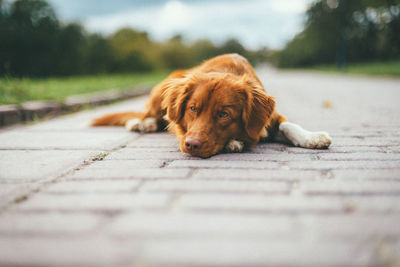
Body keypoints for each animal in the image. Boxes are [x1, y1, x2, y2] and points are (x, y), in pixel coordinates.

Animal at [93, 53, 332, 158]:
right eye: (192, 109)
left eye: (224, 114)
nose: (191, 145)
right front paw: (234, 142)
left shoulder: (269, 117)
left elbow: (289, 125)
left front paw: (312, 137)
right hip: (160, 91)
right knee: (148, 115)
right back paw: (141, 124)